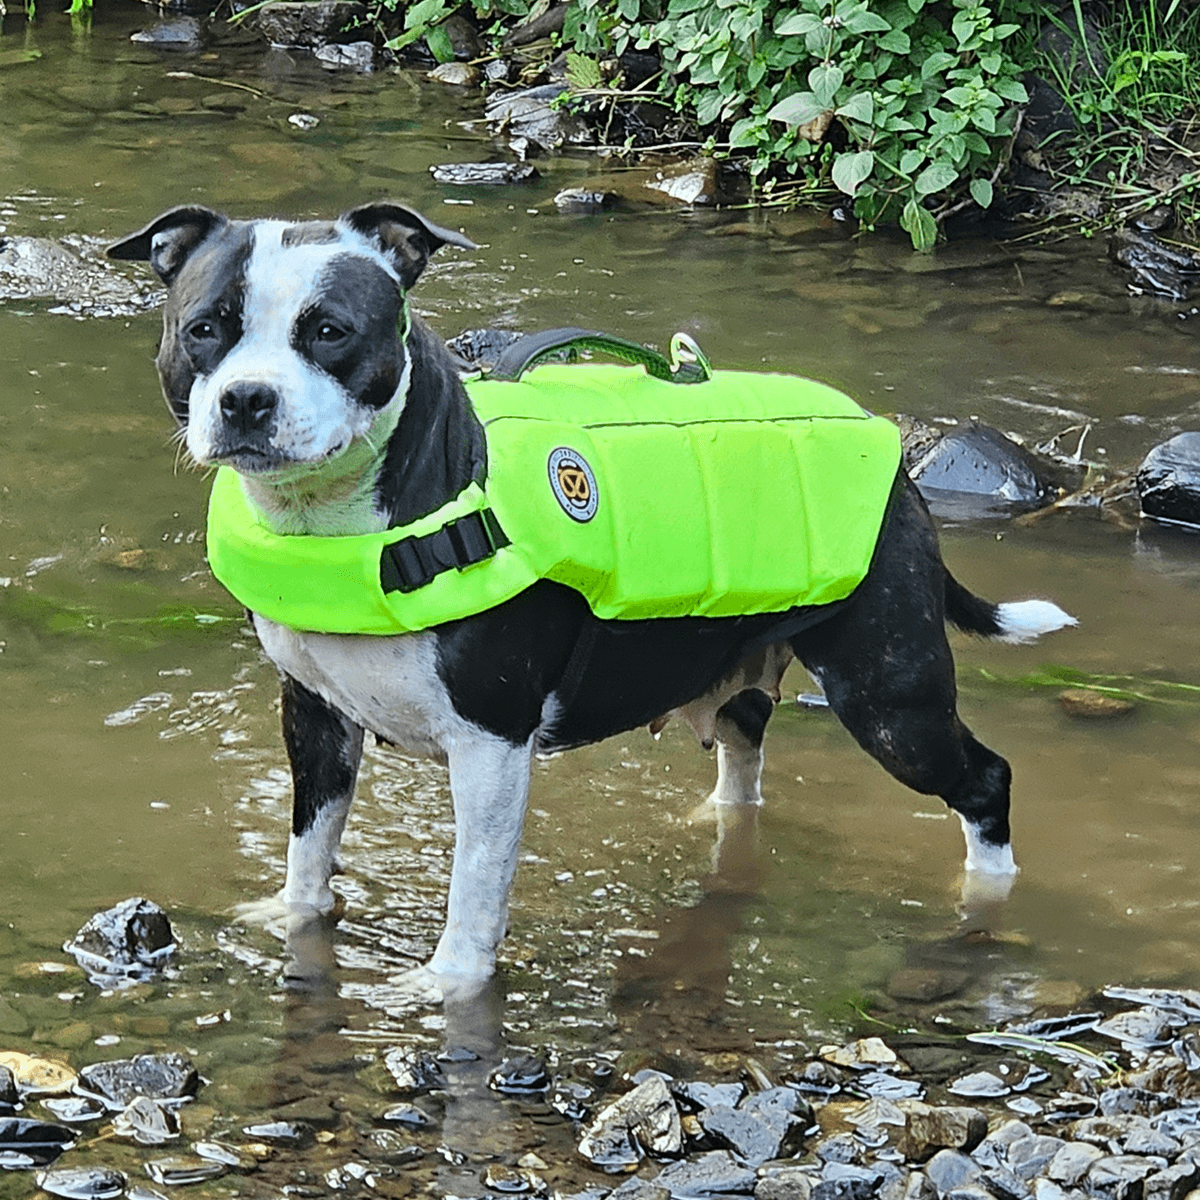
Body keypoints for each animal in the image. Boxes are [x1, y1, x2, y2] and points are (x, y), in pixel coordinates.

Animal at [110, 201, 1080, 998]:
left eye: (329, 330)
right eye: (203, 329)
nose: (246, 399)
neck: (343, 522)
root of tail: (900, 470)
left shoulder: (491, 744)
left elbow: (474, 885)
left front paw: (449, 988)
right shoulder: (314, 715)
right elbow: (310, 846)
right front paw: (292, 920)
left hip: (891, 697)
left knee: (982, 778)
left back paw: (986, 896)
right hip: (740, 656)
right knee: (745, 742)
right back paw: (721, 820)